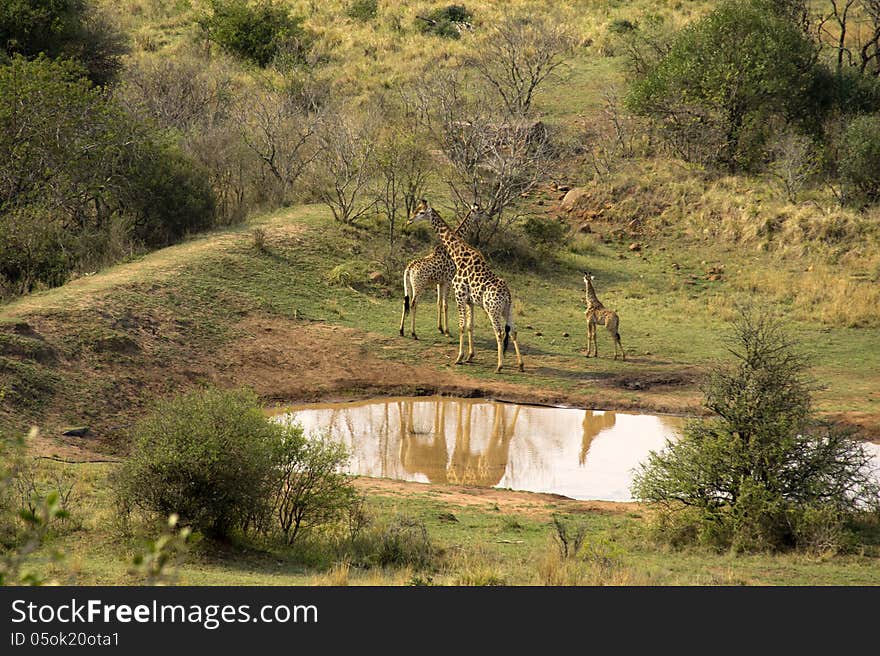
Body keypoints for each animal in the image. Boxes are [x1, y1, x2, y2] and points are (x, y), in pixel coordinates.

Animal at [398, 205, 482, 338]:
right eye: (479, 211)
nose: (485, 215)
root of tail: (409, 269)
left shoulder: (439, 282)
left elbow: (438, 303)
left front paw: (440, 328)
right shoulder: (448, 280)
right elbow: (445, 304)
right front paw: (447, 331)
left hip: (408, 285)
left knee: (404, 302)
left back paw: (401, 331)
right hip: (418, 286)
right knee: (413, 304)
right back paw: (413, 333)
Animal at [408, 199, 524, 374]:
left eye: (421, 212)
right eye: (416, 210)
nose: (409, 220)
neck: (458, 255)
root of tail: (507, 296)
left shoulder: (459, 295)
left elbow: (461, 325)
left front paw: (459, 357)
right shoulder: (469, 300)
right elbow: (470, 326)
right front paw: (470, 356)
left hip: (493, 309)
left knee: (500, 333)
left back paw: (499, 366)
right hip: (507, 310)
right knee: (514, 332)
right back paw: (520, 364)